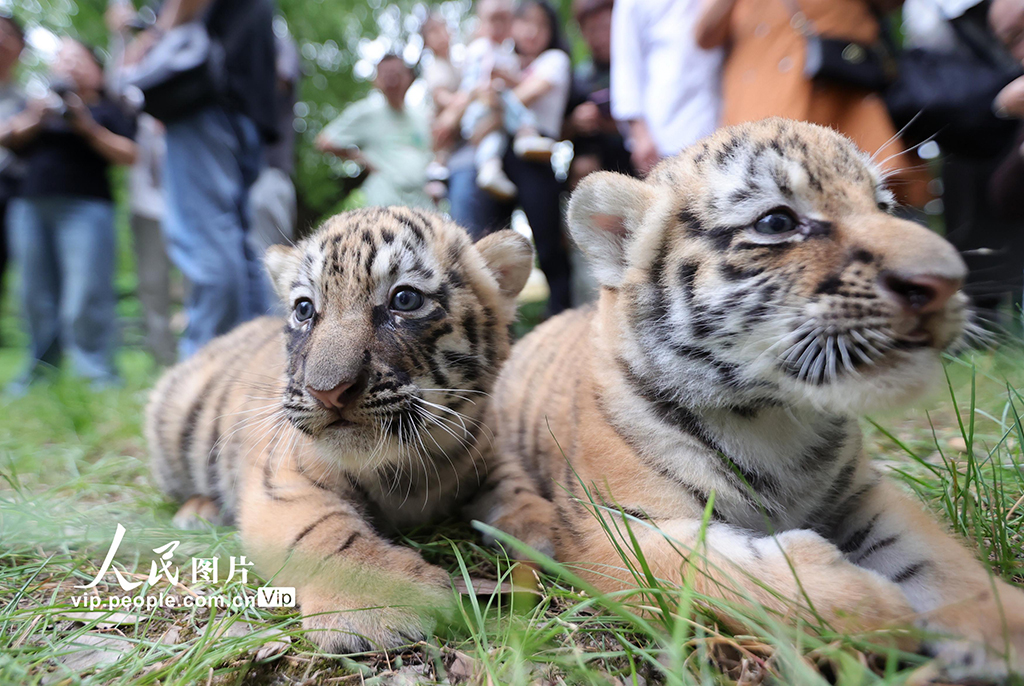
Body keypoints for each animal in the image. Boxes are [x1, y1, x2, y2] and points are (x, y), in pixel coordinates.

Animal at [145, 206, 542, 652]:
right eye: (304, 309)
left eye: (405, 299)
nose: (328, 392)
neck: (412, 466)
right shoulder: (283, 482)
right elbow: (325, 533)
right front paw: (384, 605)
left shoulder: (486, 449)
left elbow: (516, 486)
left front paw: (549, 529)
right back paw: (199, 511)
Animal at [482, 118, 1024, 678]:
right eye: (776, 221)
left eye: (883, 206)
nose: (945, 283)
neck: (771, 417)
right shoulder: (610, 527)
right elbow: (721, 575)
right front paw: (876, 607)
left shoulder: (862, 494)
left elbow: (944, 563)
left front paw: (1004, 628)